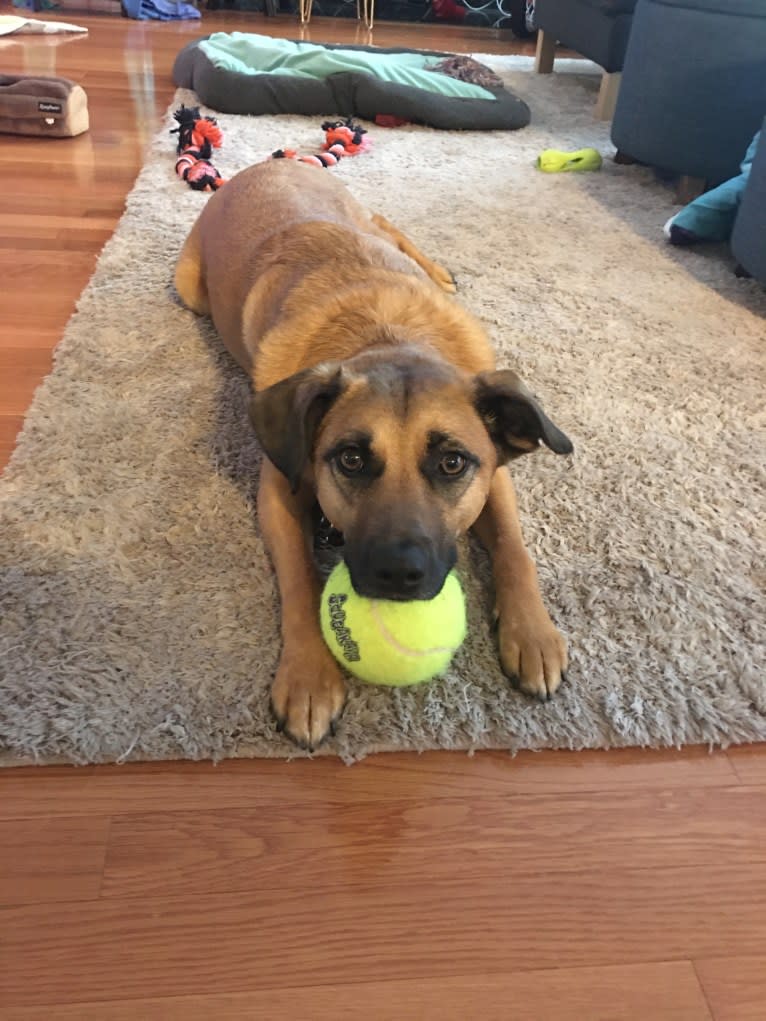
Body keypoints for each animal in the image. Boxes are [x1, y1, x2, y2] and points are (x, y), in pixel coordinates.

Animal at [172, 159, 571, 751]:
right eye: (352, 460)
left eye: (452, 463)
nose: (398, 575)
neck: (386, 336)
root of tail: (267, 163)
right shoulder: (278, 491)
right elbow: (299, 579)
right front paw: (309, 675)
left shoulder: (494, 478)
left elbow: (515, 549)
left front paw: (533, 633)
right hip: (189, 287)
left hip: (362, 218)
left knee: (386, 223)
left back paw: (438, 271)